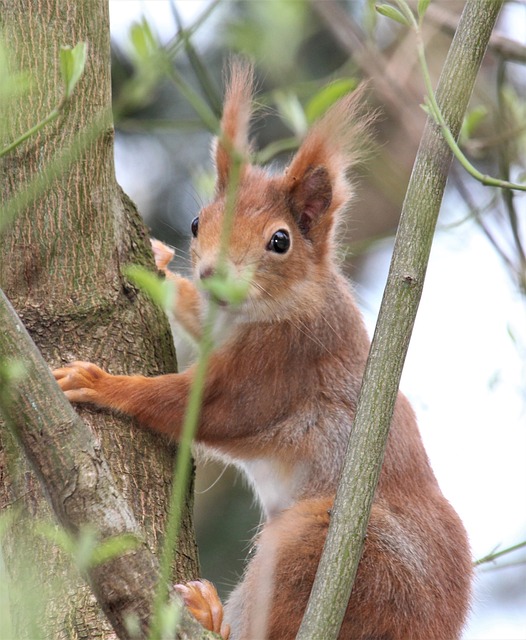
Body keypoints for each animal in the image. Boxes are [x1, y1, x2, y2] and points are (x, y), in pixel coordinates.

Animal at [54, 62, 474, 636]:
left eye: (280, 241)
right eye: (197, 223)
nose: (213, 273)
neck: (258, 310)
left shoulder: (284, 360)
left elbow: (203, 407)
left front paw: (98, 383)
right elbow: (194, 313)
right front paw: (160, 266)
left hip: (330, 548)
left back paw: (211, 620)